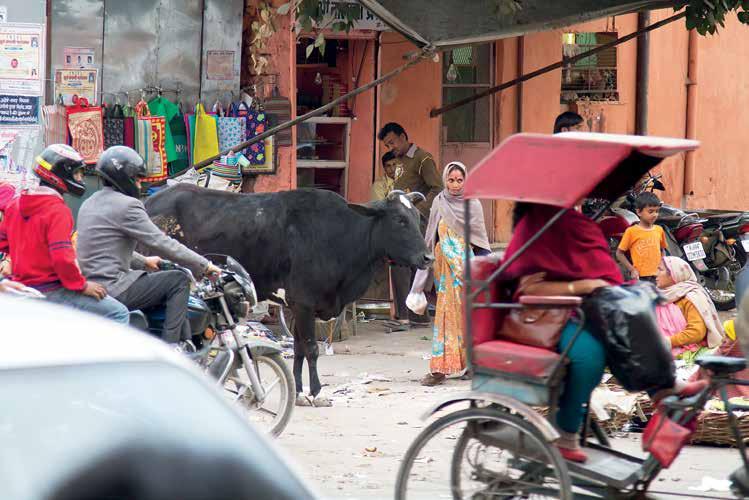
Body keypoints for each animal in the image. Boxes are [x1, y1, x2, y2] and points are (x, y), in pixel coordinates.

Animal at [145, 184, 432, 402]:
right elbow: (312, 349)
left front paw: (298, 390)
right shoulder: (304, 303)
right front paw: (316, 392)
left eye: (417, 219)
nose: (428, 257)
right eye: (399, 220)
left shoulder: (296, 305)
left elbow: (299, 349)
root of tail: (150, 201)